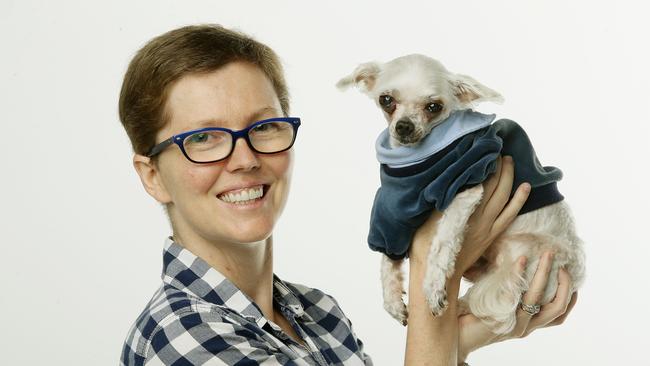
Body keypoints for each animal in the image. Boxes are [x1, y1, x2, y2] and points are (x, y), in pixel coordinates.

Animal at [336, 55, 584, 334]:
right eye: (386, 100)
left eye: (434, 106)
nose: (404, 126)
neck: (414, 158)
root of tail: (575, 275)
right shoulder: (394, 205)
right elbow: (387, 257)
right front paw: (391, 301)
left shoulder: (464, 186)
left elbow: (441, 244)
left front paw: (433, 288)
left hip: (526, 258)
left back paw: (460, 307)